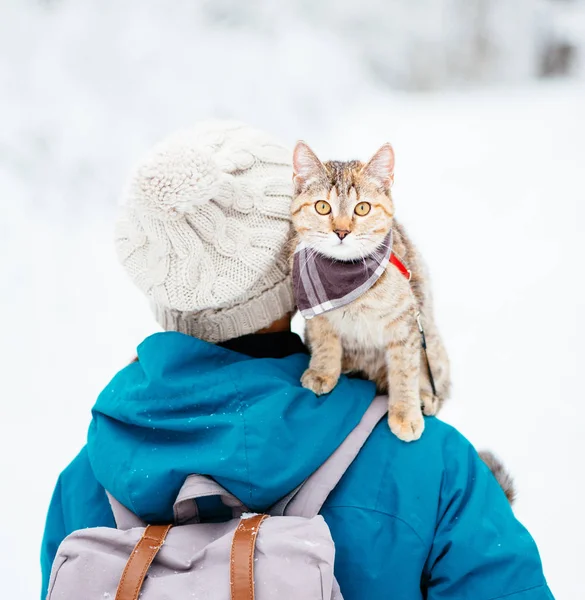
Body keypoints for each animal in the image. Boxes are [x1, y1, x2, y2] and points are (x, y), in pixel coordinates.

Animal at [290, 141, 450, 440]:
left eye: (362, 208)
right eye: (322, 207)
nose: (341, 231)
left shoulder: (406, 324)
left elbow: (405, 370)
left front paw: (405, 412)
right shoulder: (318, 318)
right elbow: (325, 344)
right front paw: (322, 372)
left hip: (433, 344)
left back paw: (425, 398)